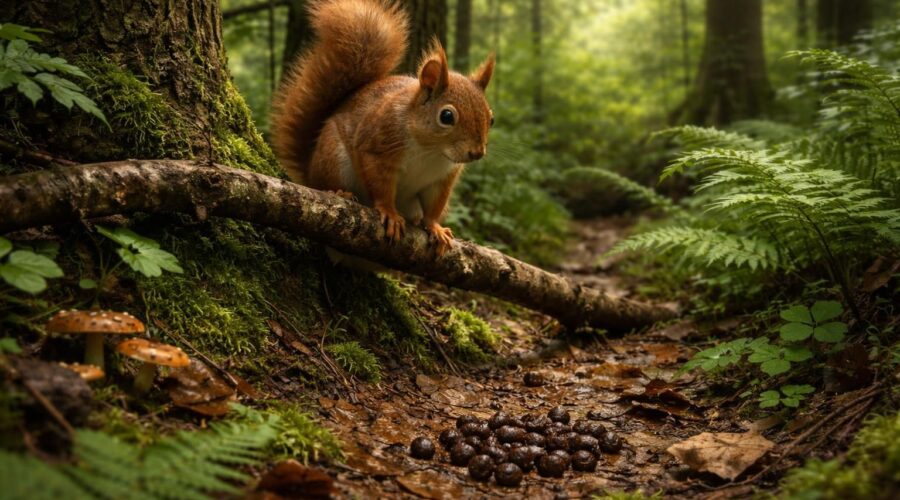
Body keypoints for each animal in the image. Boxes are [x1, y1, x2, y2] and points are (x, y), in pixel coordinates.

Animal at [271, 0, 494, 256]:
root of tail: (309, 168)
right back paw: (338, 192)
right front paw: (390, 213)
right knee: (325, 183)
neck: (431, 151)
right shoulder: (378, 146)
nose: (477, 153)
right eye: (446, 116)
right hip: (332, 159)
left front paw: (435, 227)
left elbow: (434, 207)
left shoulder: (443, 178)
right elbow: (381, 186)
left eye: (491, 119)